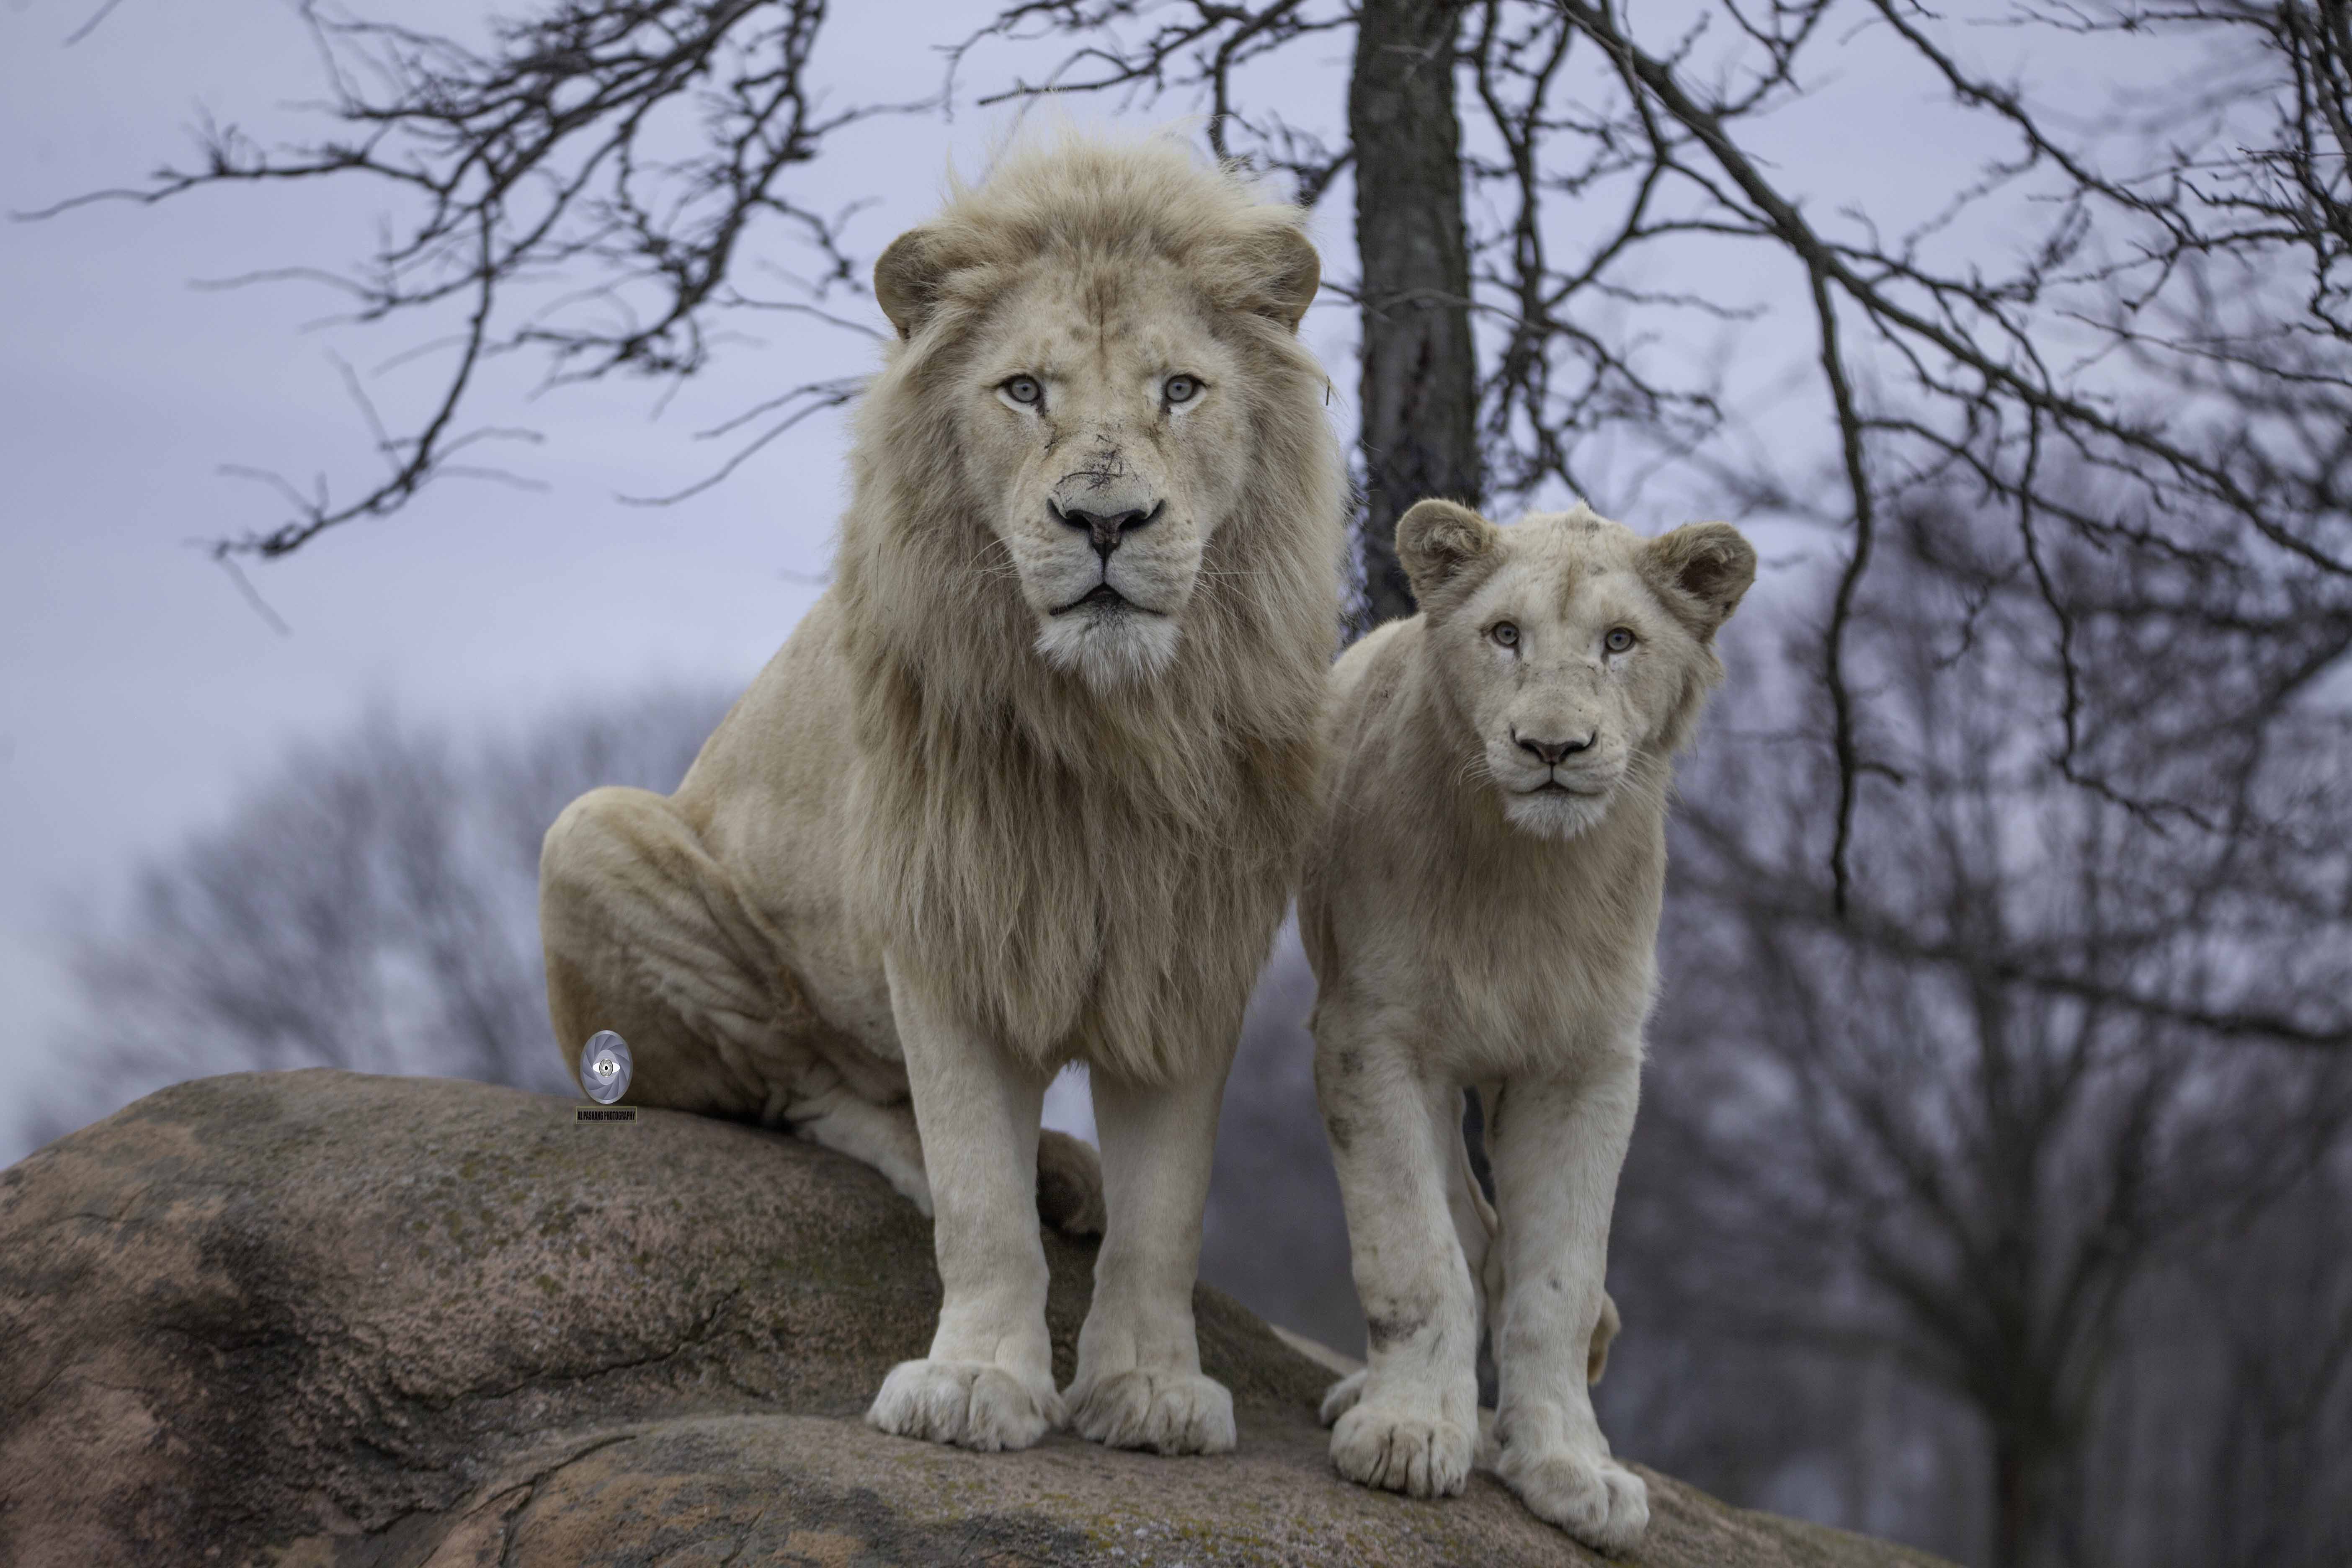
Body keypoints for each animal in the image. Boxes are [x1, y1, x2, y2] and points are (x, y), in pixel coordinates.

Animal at [536, 135, 1345, 1457]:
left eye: (1180, 390)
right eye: (1023, 391)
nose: (1106, 518)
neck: (1110, 721)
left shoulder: (1187, 944)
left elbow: (1170, 1205)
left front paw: (1151, 1388)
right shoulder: (947, 918)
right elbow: (974, 1191)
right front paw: (974, 1382)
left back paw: (1070, 1173)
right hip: (593, 833)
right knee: (806, 1087)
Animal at [1308, 500, 1750, 1542]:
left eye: (1620, 642)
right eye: (1505, 635)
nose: (1554, 749)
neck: (1531, 877)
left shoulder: (1586, 1067)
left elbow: (1559, 1284)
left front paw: (1569, 1467)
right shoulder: (1370, 1037)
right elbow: (1415, 1253)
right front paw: (1405, 1434)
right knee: (1461, 1236)